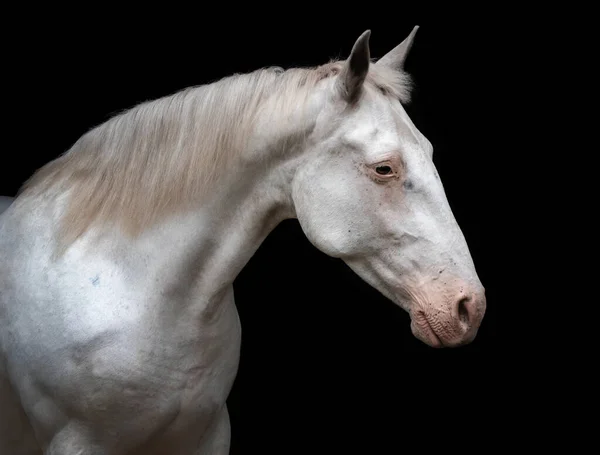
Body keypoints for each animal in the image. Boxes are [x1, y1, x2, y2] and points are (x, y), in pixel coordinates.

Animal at [1, 26, 488, 454]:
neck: (133, 285)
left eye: (429, 152)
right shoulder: (78, 442)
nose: (470, 307)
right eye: (384, 168)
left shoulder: (208, 436)